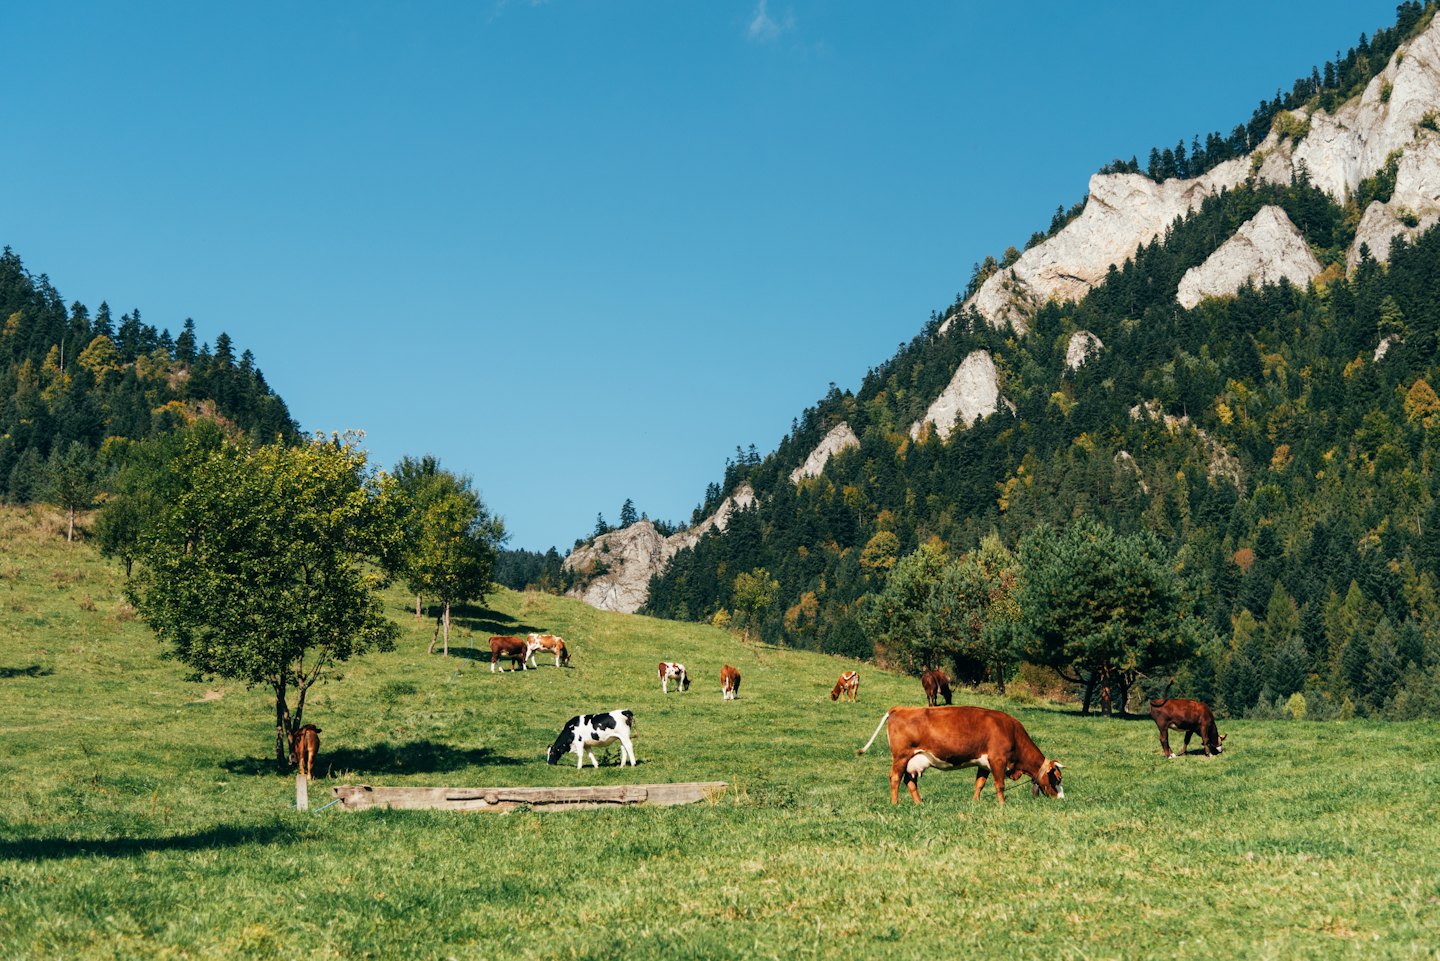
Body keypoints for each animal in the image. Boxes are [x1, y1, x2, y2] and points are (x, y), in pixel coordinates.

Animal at [859, 705, 1064, 805]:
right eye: (1057, 778)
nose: (1062, 799)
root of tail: (902, 708)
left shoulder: (984, 764)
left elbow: (980, 783)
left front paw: (975, 802)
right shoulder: (998, 759)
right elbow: (1000, 785)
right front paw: (1002, 804)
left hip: (913, 760)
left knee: (910, 781)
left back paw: (919, 804)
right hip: (901, 756)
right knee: (895, 777)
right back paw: (895, 803)